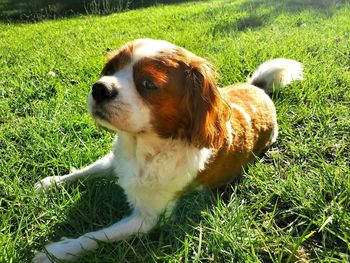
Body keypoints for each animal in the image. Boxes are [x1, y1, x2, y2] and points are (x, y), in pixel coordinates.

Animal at [34, 38, 304, 262]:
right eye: (110, 69)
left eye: (148, 84)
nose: (99, 88)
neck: (142, 148)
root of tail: (258, 89)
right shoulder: (114, 160)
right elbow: (84, 171)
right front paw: (51, 182)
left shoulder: (148, 218)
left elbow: (98, 235)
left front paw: (58, 251)